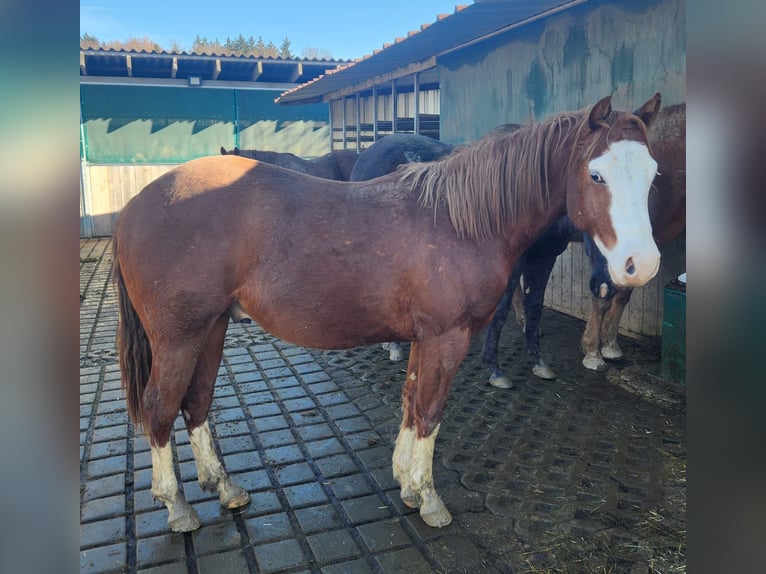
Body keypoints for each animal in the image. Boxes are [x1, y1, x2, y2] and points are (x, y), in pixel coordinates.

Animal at [481, 103, 685, 385]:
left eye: (653, 172)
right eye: (595, 175)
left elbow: (622, 295)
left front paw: (610, 346)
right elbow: (603, 295)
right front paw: (593, 352)